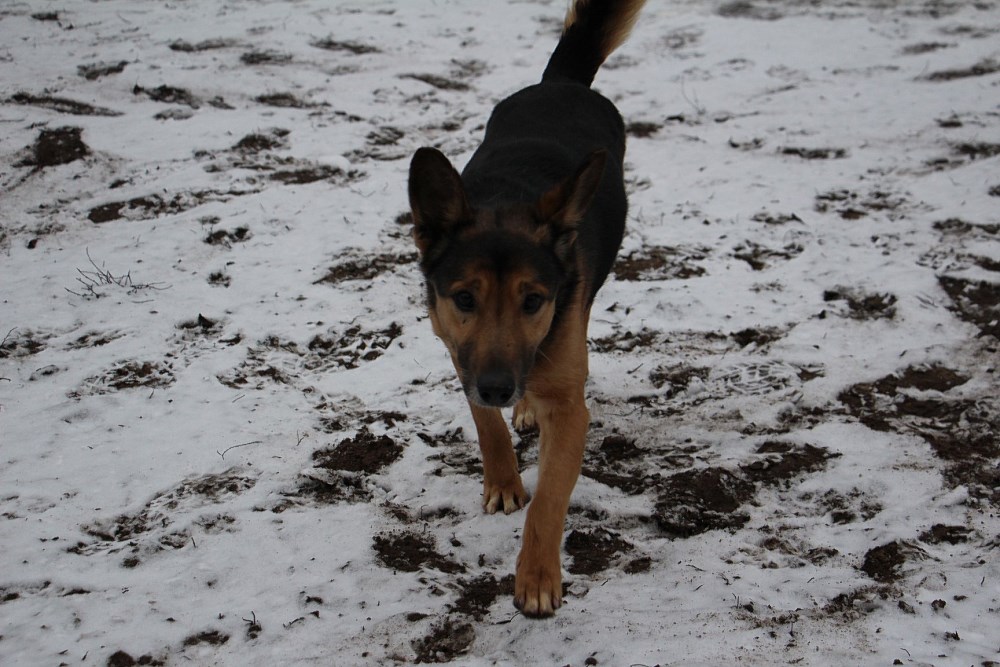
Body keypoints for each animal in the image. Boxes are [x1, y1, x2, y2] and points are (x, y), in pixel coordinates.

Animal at [408, 0, 645, 617]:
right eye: (465, 298)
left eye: (534, 300)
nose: (498, 386)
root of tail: (561, 84)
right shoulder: (459, 352)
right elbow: (484, 425)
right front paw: (503, 481)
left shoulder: (567, 399)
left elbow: (550, 500)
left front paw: (537, 577)